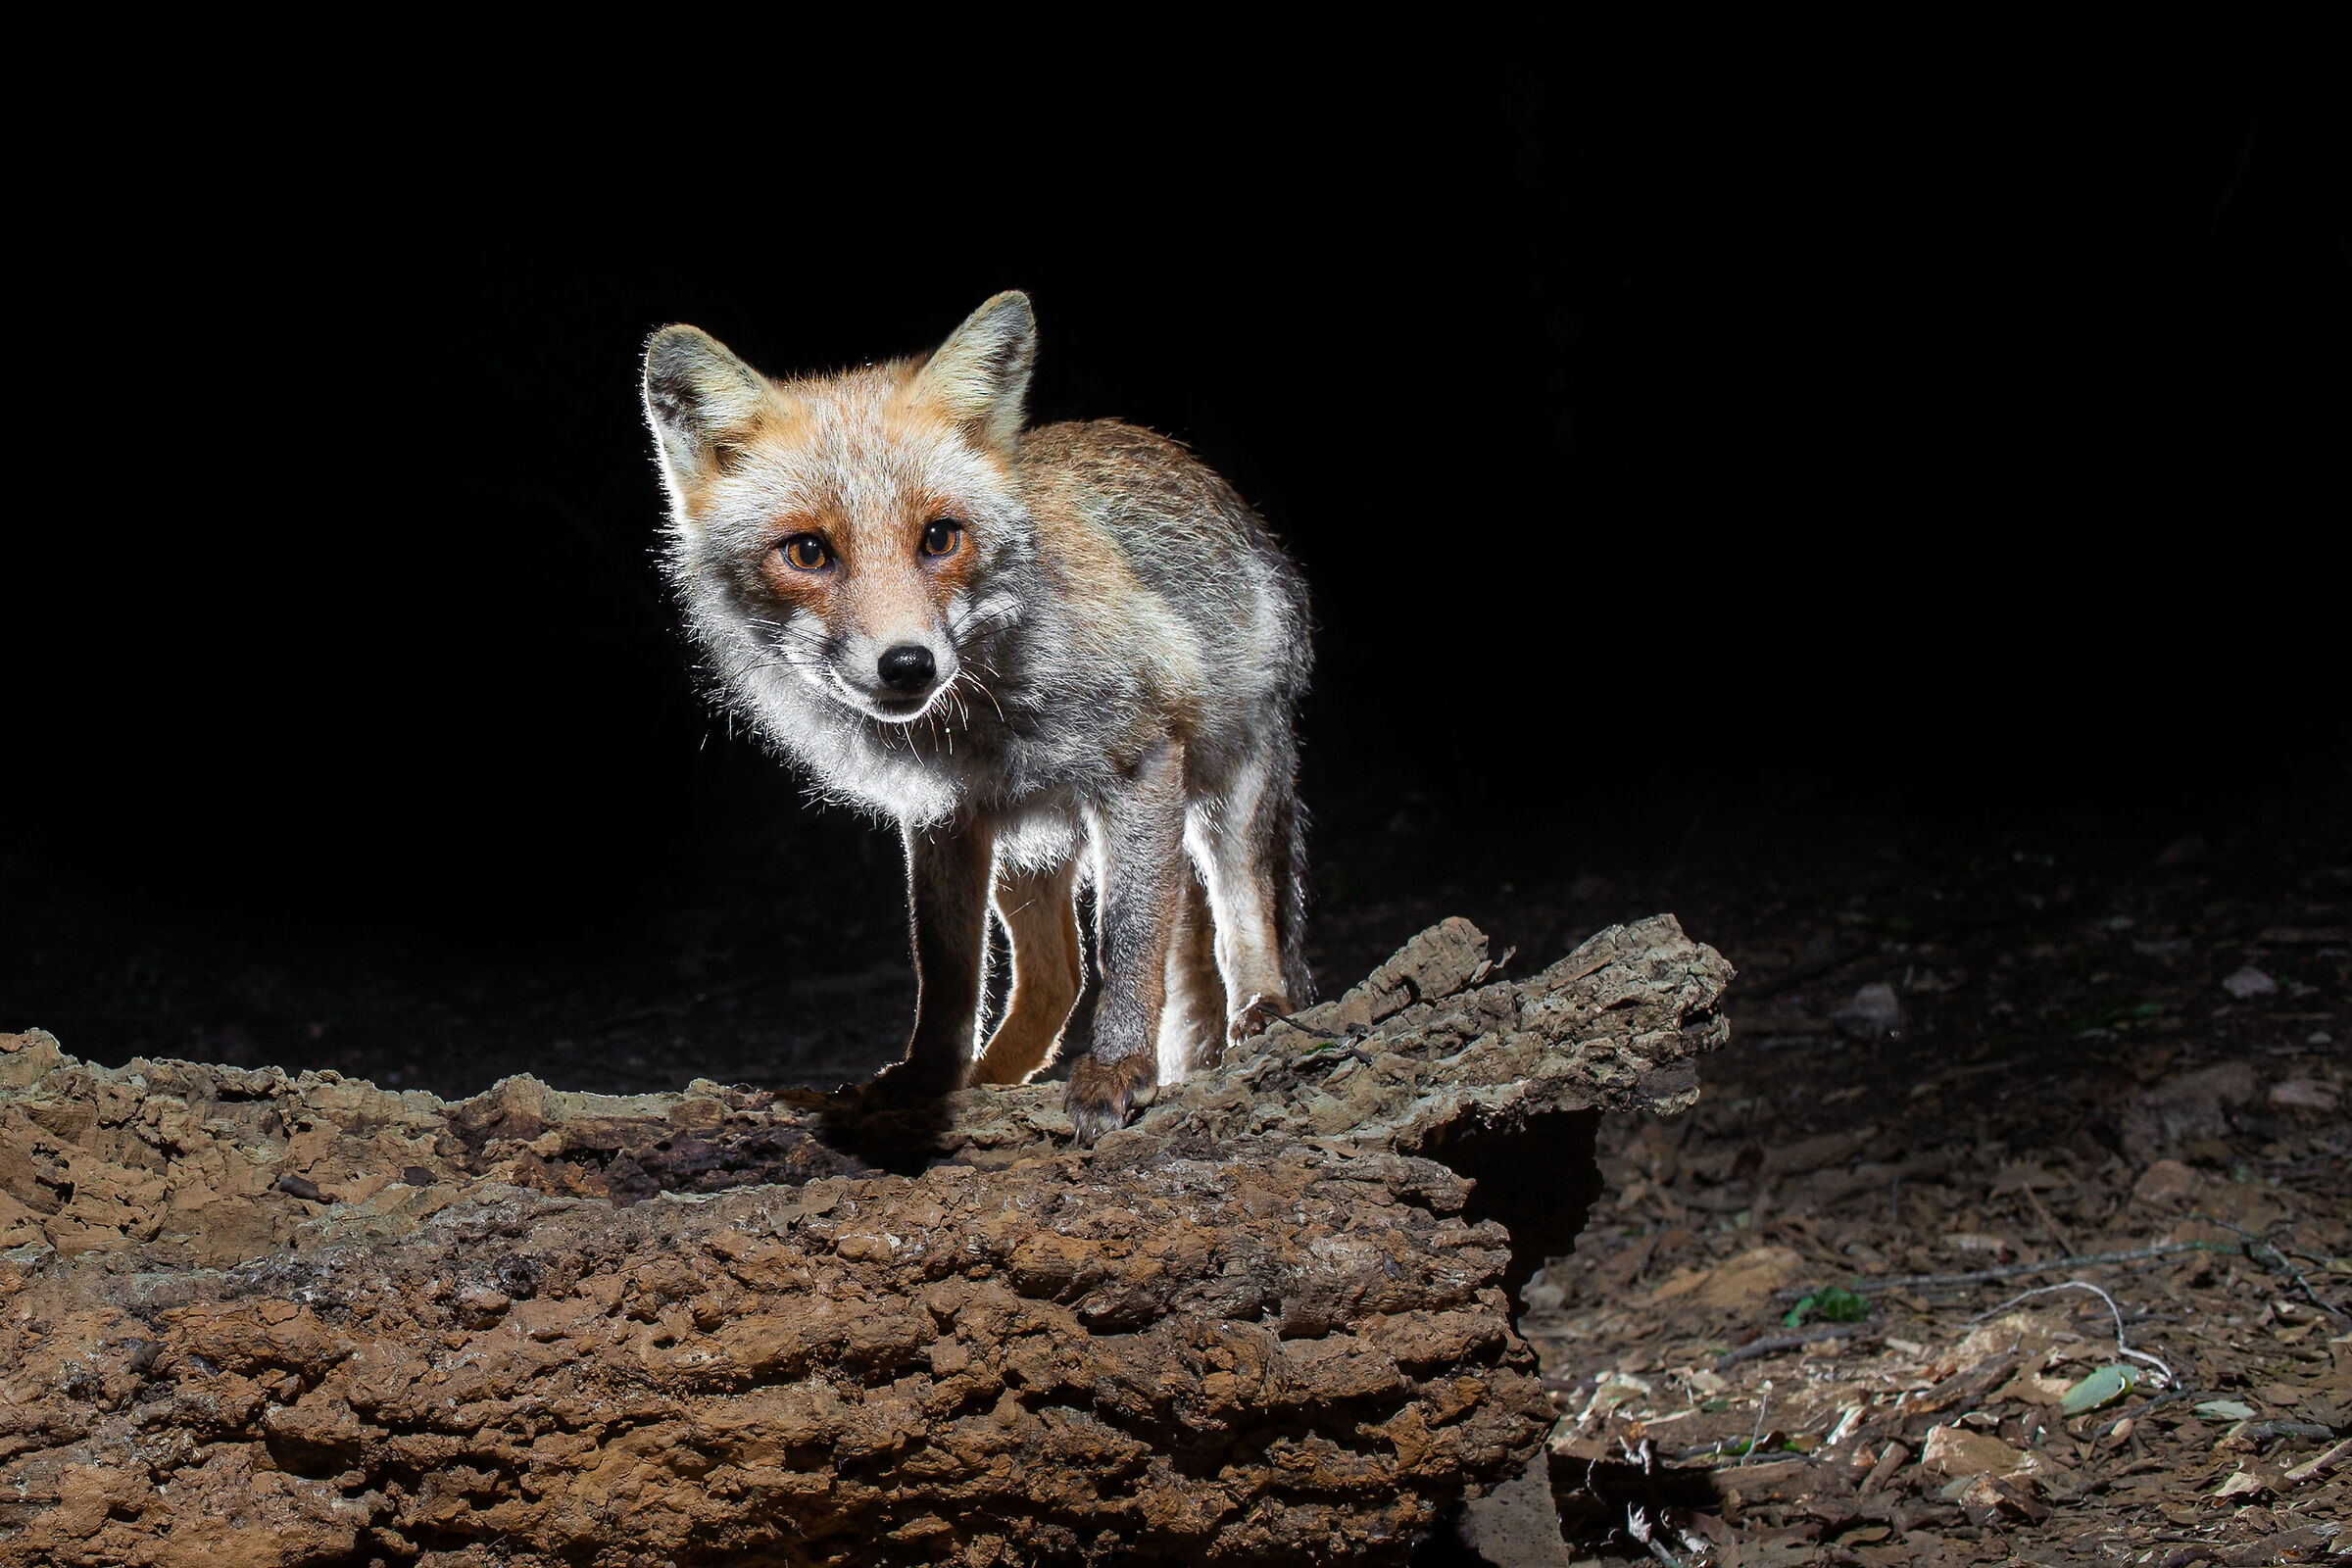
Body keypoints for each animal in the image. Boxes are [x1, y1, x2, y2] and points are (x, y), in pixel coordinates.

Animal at [641, 292, 1313, 1141]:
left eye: (940, 538)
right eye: (807, 553)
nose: (907, 664)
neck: (980, 723)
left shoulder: (1139, 766)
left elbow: (1130, 942)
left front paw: (1120, 1068)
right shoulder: (944, 815)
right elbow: (948, 969)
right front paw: (929, 1080)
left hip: (1228, 794)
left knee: (1237, 920)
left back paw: (1262, 1012)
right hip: (1029, 850)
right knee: (1059, 974)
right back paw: (992, 1079)